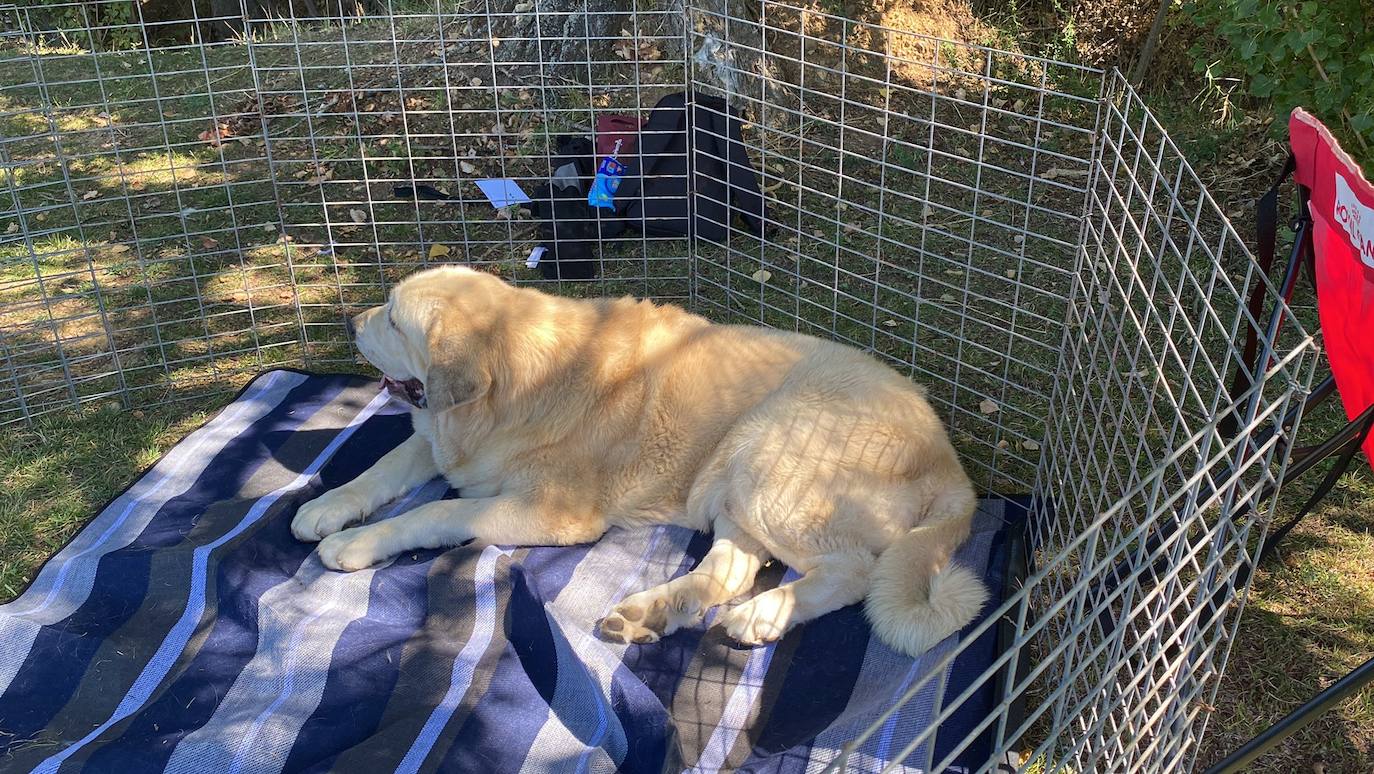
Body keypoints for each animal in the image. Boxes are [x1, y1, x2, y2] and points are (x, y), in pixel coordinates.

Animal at [295, 265, 989, 654]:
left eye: (391, 319)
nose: (350, 318)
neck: (513, 383)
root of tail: (952, 465)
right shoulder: (438, 441)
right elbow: (382, 466)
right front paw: (326, 508)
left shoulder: (555, 513)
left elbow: (434, 514)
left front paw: (356, 544)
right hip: (731, 483)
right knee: (731, 567)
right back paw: (649, 613)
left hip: (766, 450)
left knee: (852, 572)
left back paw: (762, 615)